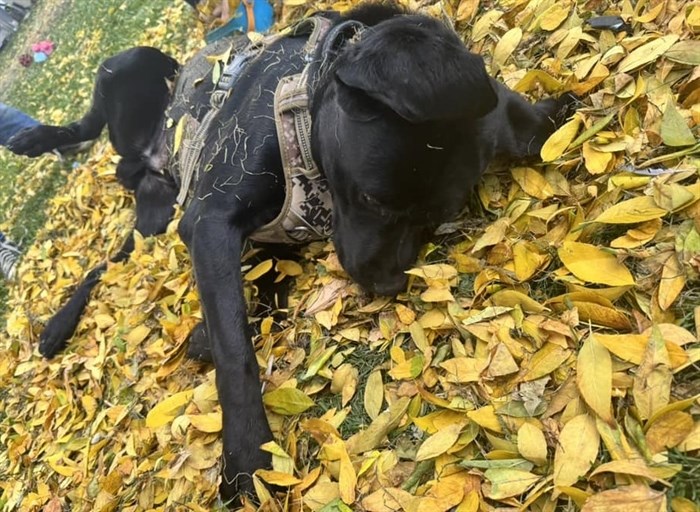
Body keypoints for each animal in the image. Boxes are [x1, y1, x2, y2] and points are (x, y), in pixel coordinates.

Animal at [8, 2, 576, 502]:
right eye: (374, 199)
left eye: (432, 218)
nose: (389, 284)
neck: (311, 86)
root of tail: (146, 164)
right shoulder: (209, 221)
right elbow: (235, 351)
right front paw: (248, 460)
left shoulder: (245, 236)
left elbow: (256, 293)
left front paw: (212, 330)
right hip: (133, 63)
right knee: (91, 127)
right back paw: (36, 142)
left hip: (155, 215)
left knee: (106, 260)